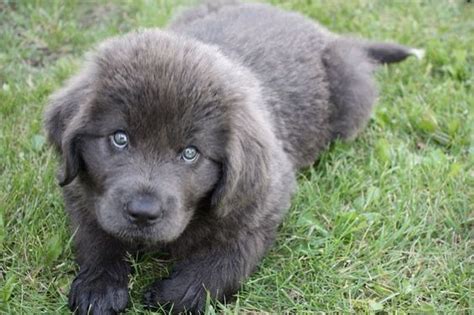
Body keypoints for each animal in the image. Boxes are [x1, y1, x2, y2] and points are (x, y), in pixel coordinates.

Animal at [44, 1, 422, 314]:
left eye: (190, 153)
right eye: (119, 139)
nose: (143, 212)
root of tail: (328, 33)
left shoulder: (261, 205)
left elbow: (227, 258)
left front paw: (177, 293)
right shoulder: (82, 192)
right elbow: (94, 234)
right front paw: (99, 286)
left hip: (351, 98)